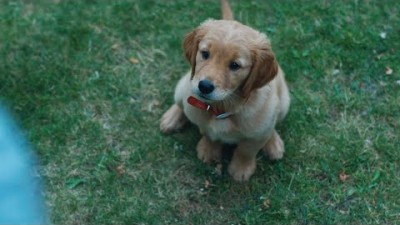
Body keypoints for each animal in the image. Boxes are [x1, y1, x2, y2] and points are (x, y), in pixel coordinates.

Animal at [161, 0, 290, 182]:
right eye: (205, 53)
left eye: (235, 65)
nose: (204, 86)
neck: (224, 107)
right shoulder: (201, 118)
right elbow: (209, 135)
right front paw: (209, 151)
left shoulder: (256, 136)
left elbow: (246, 150)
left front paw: (241, 169)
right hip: (184, 87)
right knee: (180, 104)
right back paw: (171, 119)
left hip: (284, 101)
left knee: (272, 124)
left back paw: (273, 143)